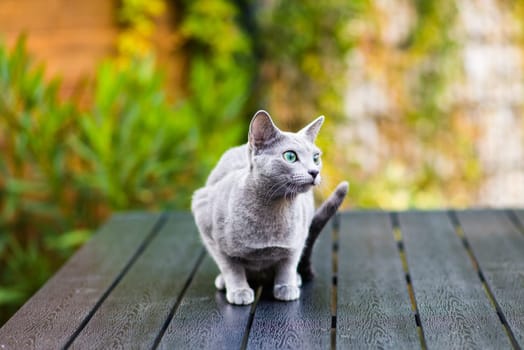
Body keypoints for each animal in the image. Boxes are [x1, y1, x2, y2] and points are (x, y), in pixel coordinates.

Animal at [192, 109, 348, 304]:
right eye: (290, 156)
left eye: (315, 157)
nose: (314, 171)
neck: (275, 208)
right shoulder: (205, 220)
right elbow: (231, 267)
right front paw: (239, 291)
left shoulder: (298, 238)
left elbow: (288, 263)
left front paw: (286, 287)